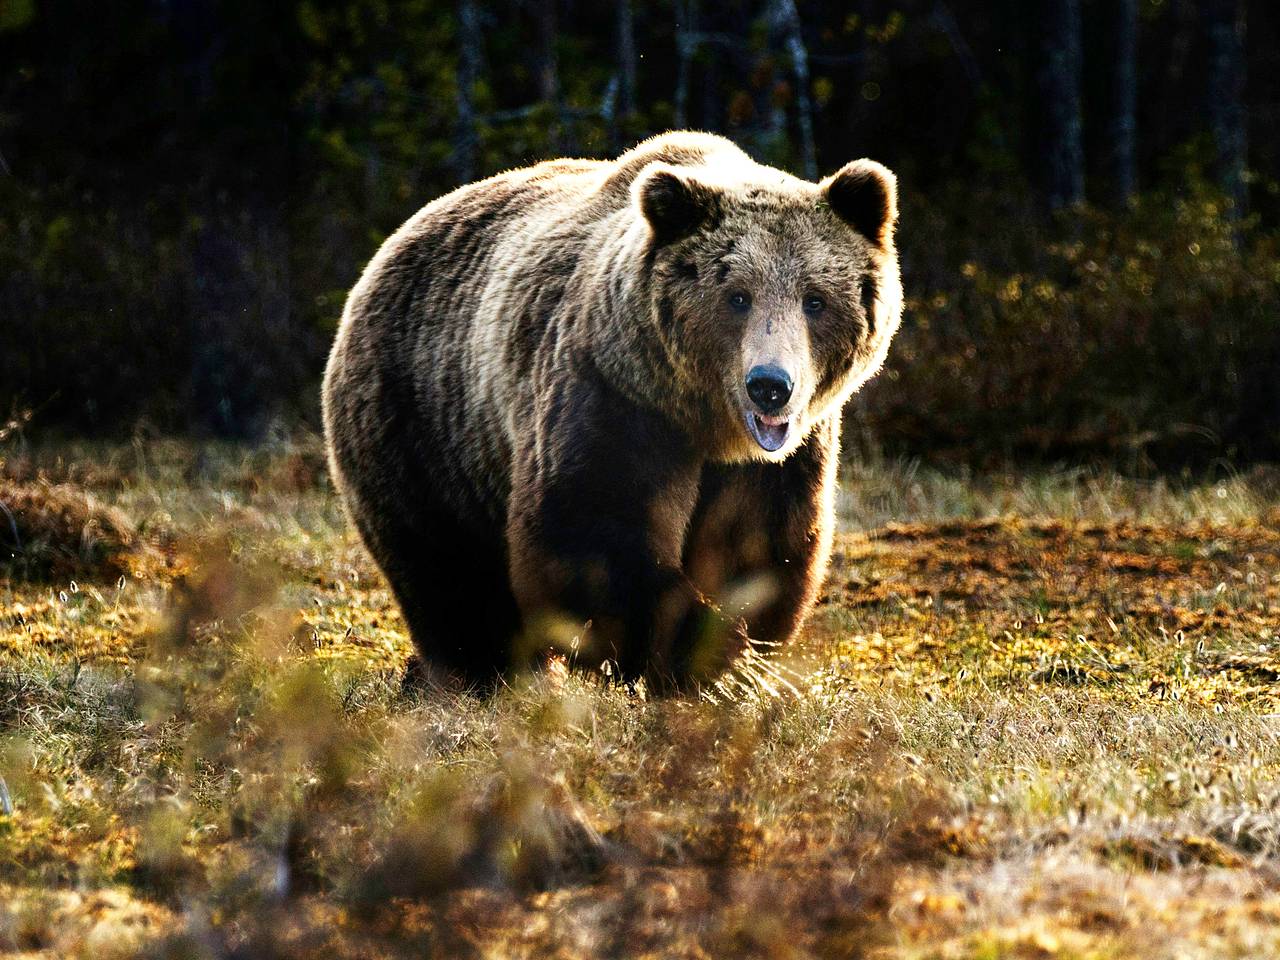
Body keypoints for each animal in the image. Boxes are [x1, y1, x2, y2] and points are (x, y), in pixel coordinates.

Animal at [320, 129, 901, 691]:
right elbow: (591, 534)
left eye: (815, 299)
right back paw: (481, 674)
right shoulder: (613, 396)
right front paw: (702, 658)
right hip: (423, 420)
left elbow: (759, 548)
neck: (705, 422)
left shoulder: (783, 457)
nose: (770, 386)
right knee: (447, 570)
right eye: (737, 296)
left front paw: (735, 659)